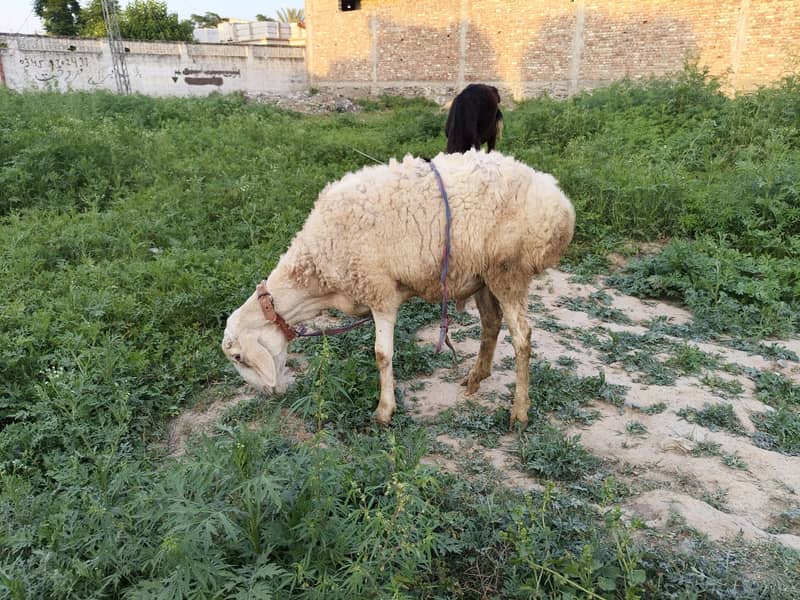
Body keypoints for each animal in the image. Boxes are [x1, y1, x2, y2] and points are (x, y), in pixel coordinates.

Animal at [221, 150, 575, 426]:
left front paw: (384, 410)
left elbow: (382, 354)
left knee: (522, 337)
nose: (267, 393)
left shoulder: (380, 292)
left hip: (508, 271)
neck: (317, 272)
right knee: (491, 323)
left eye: (238, 356)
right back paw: (476, 378)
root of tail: (561, 204)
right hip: (483, 275)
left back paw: (519, 412)